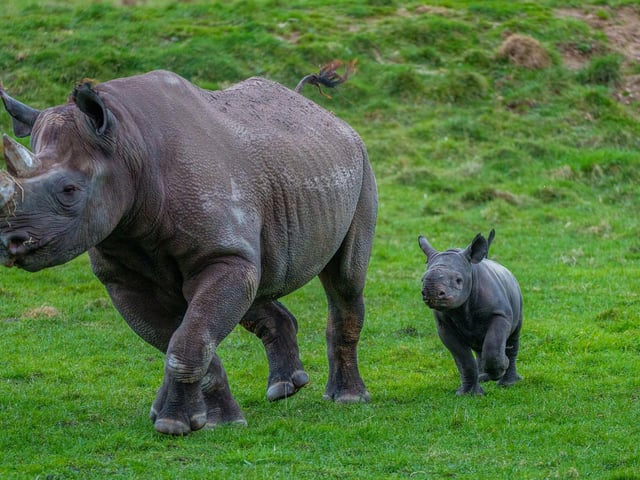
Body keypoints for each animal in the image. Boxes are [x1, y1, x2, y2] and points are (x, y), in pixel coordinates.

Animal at [0, 66, 377, 435]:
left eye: (69, 190)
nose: (8, 242)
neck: (128, 146)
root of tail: (327, 116)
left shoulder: (220, 253)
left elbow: (190, 339)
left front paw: (173, 424)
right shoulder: (122, 277)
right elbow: (180, 337)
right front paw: (215, 420)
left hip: (360, 164)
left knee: (344, 281)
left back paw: (347, 399)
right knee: (255, 280)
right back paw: (286, 388)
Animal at [418, 230, 522, 395]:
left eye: (458, 280)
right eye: (422, 280)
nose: (431, 293)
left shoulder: (500, 314)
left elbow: (494, 344)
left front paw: (501, 368)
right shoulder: (444, 326)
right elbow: (463, 359)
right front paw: (468, 394)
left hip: (516, 294)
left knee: (512, 336)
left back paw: (507, 382)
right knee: (480, 345)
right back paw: (483, 377)